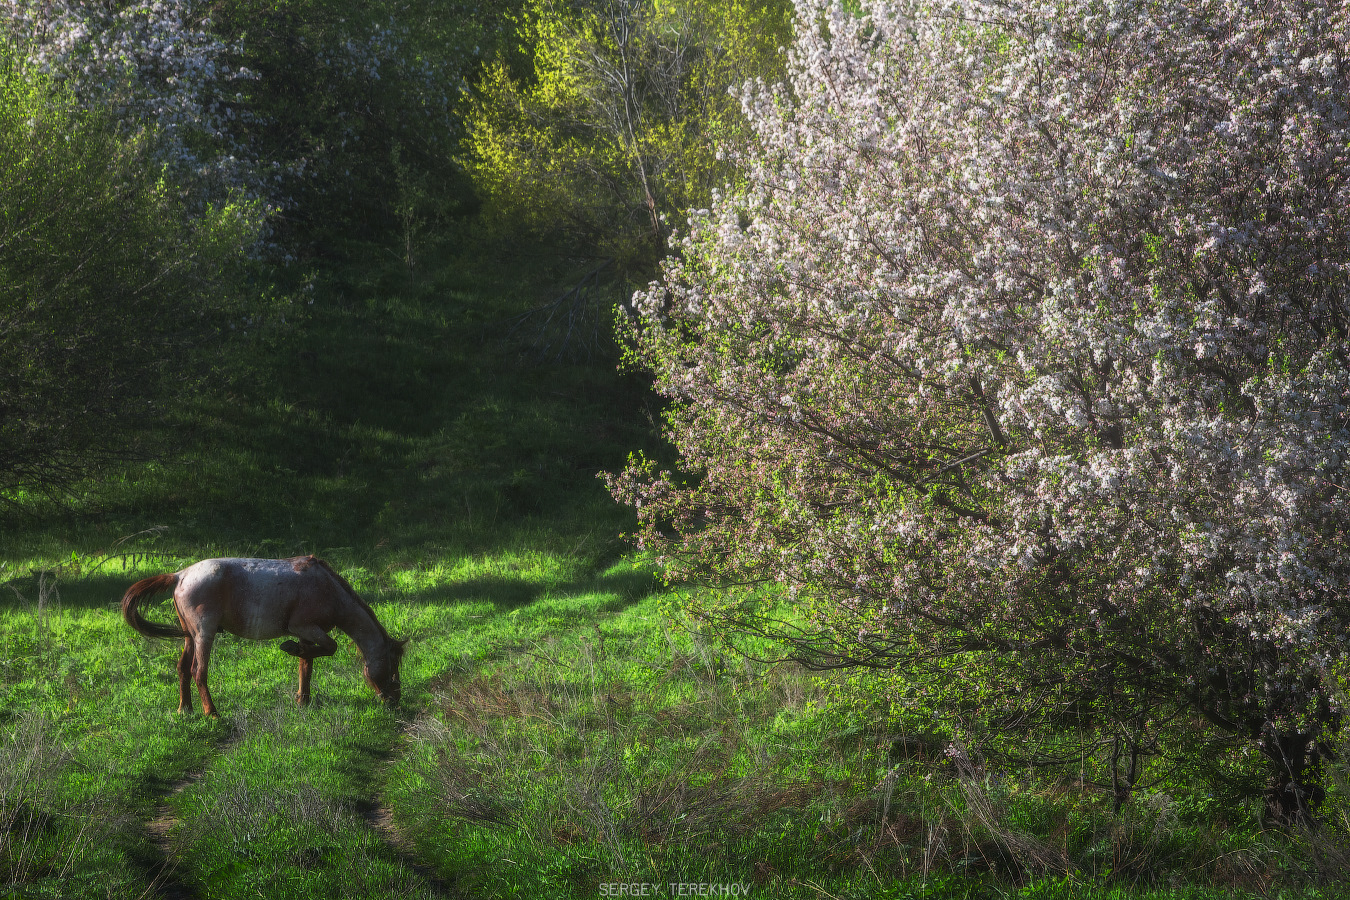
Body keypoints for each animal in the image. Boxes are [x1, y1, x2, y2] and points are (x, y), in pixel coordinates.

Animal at [124, 553, 402, 712]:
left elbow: (307, 664)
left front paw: (303, 699)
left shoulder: (307, 634)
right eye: (392, 665)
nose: (394, 700)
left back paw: (185, 709)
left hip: (189, 636)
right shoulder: (305, 628)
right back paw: (211, 712)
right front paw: (290, 650)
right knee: (198, 672)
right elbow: (329, 648)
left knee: (182, 669)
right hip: (204, 634)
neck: (328, 589)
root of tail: (180, 574)